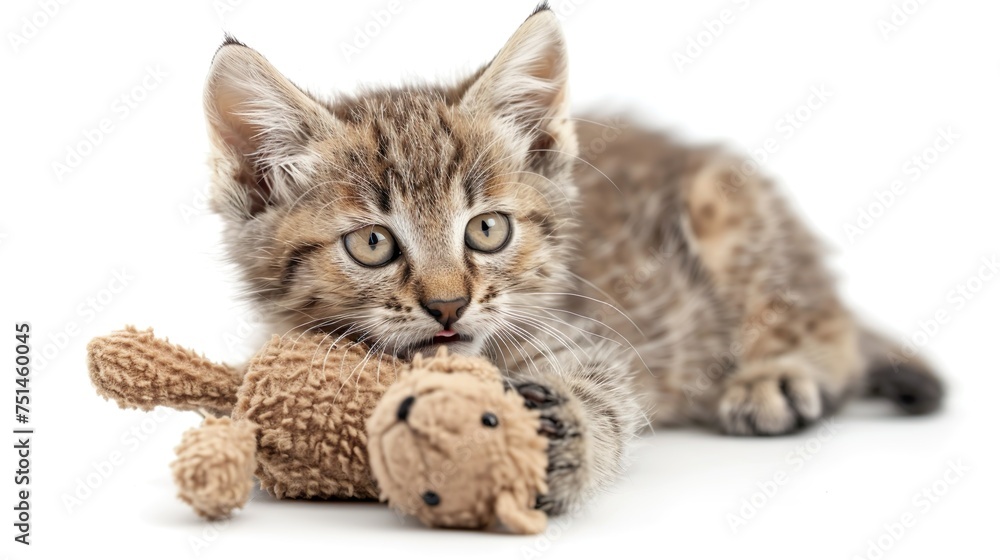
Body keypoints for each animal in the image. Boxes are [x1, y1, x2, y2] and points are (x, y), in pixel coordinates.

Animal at [205, 3, 944, 516]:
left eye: (488, 230)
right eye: (372, 244)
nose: (448, 304)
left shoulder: (582, 336)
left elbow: (604, 393)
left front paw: (561, 436)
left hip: (725, 201)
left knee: (821, 322)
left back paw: (778, 377)